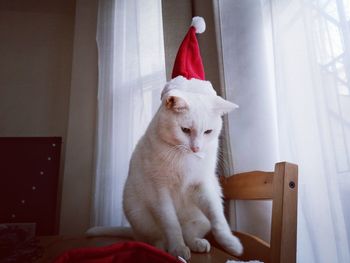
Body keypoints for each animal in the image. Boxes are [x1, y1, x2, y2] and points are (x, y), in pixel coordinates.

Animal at [86, 76, 242, 262]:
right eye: (185, 130)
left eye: (208, 132)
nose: (196, 148)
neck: (183, 156)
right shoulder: (159, 192)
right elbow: (171, 224)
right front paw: (177, 248)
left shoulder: (203, 186)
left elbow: (218, 218)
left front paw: (231, 244)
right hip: (139, 214)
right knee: (158, 237)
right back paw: (162, 249)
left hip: (202, 218)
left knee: (189, 233)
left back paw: (197, 243)